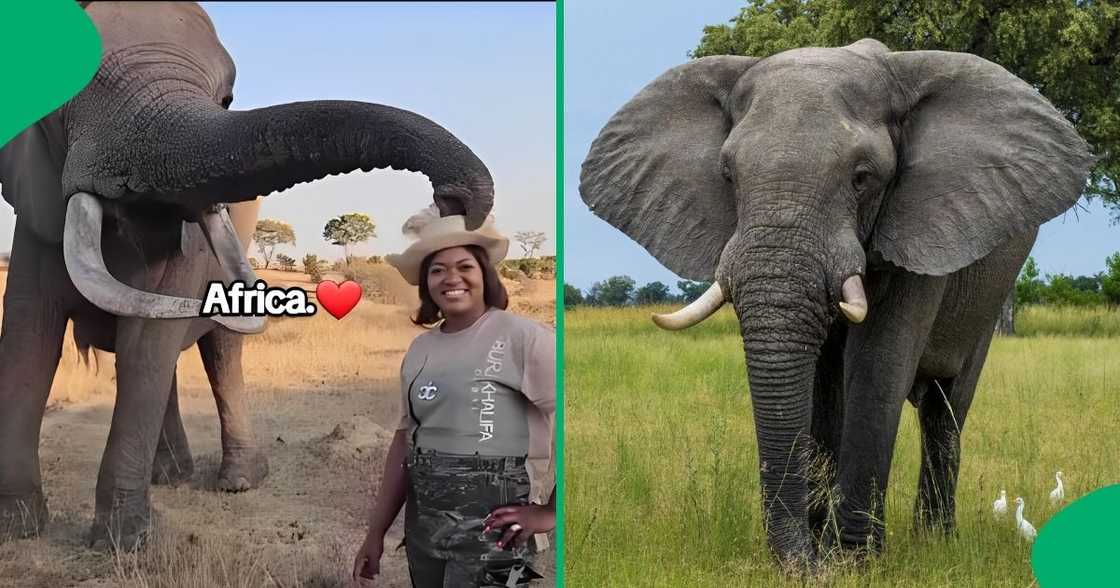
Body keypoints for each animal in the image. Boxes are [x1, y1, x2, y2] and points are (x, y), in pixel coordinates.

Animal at [0, 2, 492, 548]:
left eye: (227, 99)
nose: (452, 203)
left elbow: (144, 346)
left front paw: (122, 544)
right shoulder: (33, 212)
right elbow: (28, 343)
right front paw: (18, 528)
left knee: (218, 352)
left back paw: (235, 481)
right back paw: (172, 477)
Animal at [582, 38, 1088, 566]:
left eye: (862, 177)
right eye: (727, 175)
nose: (800, 565)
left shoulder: (918, 222)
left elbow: (877, 363)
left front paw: (855, 561)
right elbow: (823, 383)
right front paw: (825, 553)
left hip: (991, 293)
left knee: (946, 407)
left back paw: (934, 540)